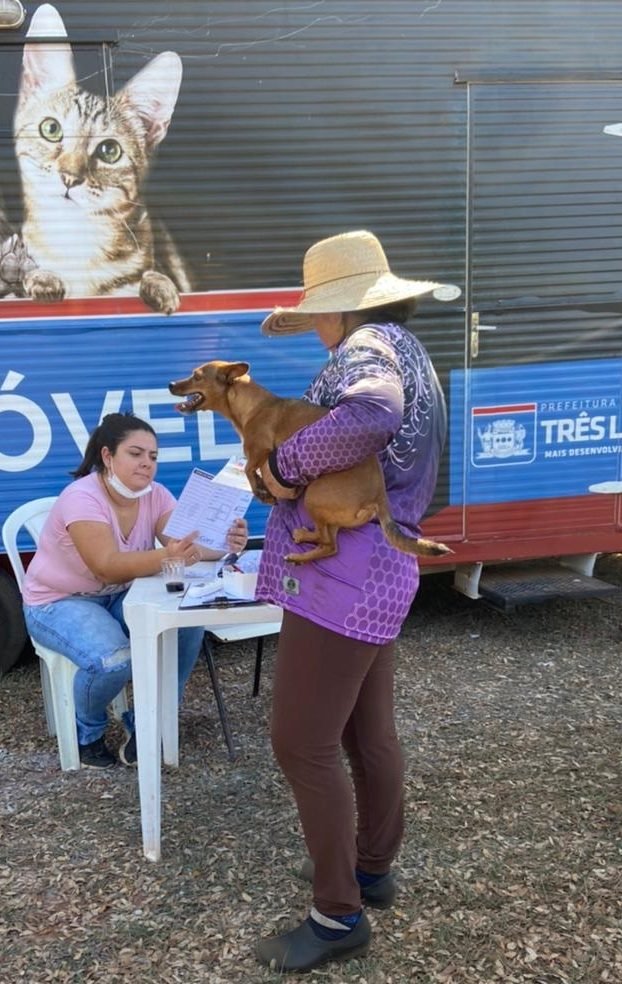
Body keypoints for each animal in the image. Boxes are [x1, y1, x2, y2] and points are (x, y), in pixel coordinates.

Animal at [169, 360, 454, 560]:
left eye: (197, 376)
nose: (171, 384)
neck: (251, 405)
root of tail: (379, 497)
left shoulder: (260, 450)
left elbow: (250, 470)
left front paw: (263, 492)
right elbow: (252, 470)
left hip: (315, 495)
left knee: (329, 544)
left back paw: (299, 548)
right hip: (329, 512)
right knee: (330, 543)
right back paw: (302, 544)